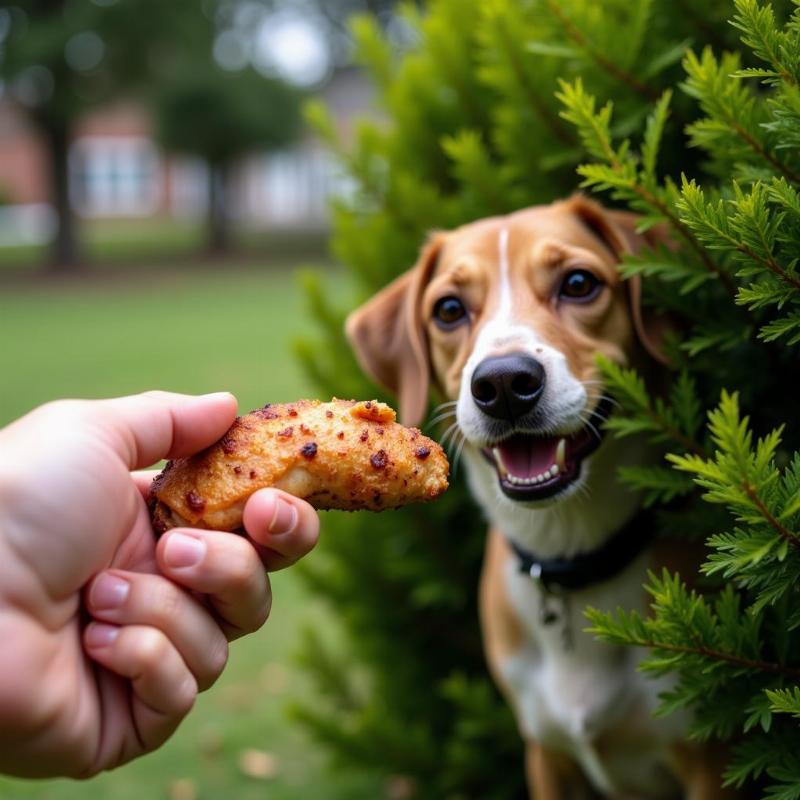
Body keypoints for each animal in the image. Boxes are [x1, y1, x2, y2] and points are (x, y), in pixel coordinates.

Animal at [346, 198, 740, 800]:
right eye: (449, 309)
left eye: (578, 283)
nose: (504, 383)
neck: (569, 550)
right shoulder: (547, 757)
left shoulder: (708, 757)